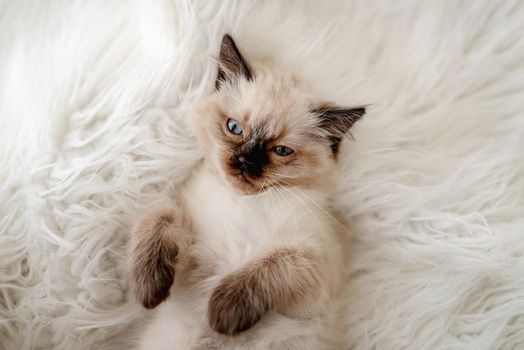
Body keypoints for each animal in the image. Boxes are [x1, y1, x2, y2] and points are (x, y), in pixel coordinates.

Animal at [128, 33, 364, 350]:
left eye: (281, 151)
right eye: (234, 128)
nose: (245, 162)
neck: (242, 200)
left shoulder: (310, 262)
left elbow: (263, 269)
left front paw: (220, 314)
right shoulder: (191, 244)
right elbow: (158, 216)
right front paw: (149, 290)